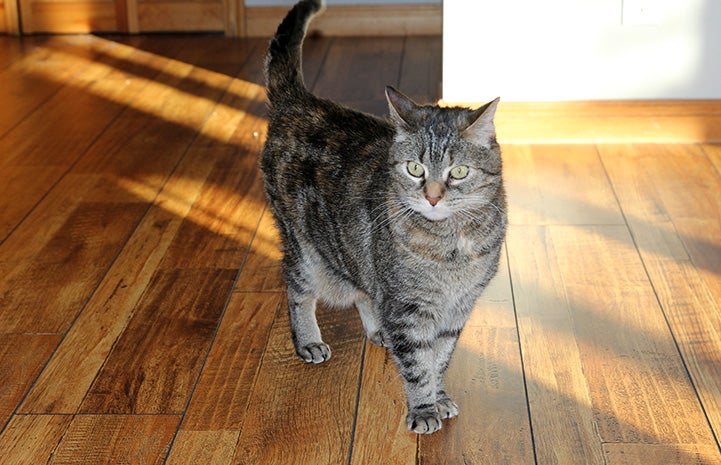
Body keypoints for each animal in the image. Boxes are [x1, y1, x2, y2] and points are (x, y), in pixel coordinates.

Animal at [260, 0, 506, 436]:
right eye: (414, 168)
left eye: (459, 171)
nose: (432, 197)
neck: (453, 242)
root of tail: (300, 100)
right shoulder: (409, 306)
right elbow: (417, 364)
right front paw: (424, 408)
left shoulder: (457, 308)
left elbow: (440, 357)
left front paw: (440, 397)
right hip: (305, 250)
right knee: (295, 287)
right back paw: (307, 340)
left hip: (356, 255)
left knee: (364, 291)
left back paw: (377, 330)